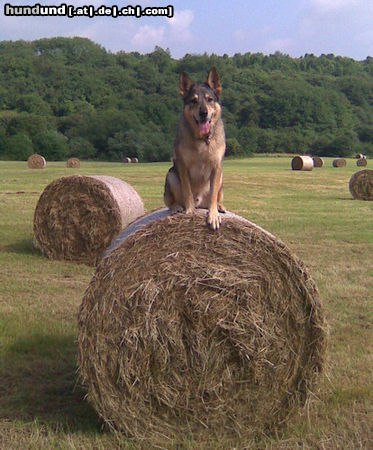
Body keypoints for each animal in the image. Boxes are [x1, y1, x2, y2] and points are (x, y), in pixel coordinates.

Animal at [163, 67, 227, 230]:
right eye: (193, 100)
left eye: (210, 99)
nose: (203, 113)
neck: (202, 140)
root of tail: (200, 202)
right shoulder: (183, 165)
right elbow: (187, 192)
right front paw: (190, 212)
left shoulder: (216, 167)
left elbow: (213, 195)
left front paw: (213, 215)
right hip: (171, 176)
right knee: (170, 202)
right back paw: (177, 207)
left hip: (221, 178)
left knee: (213, 198)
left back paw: (220, 207)